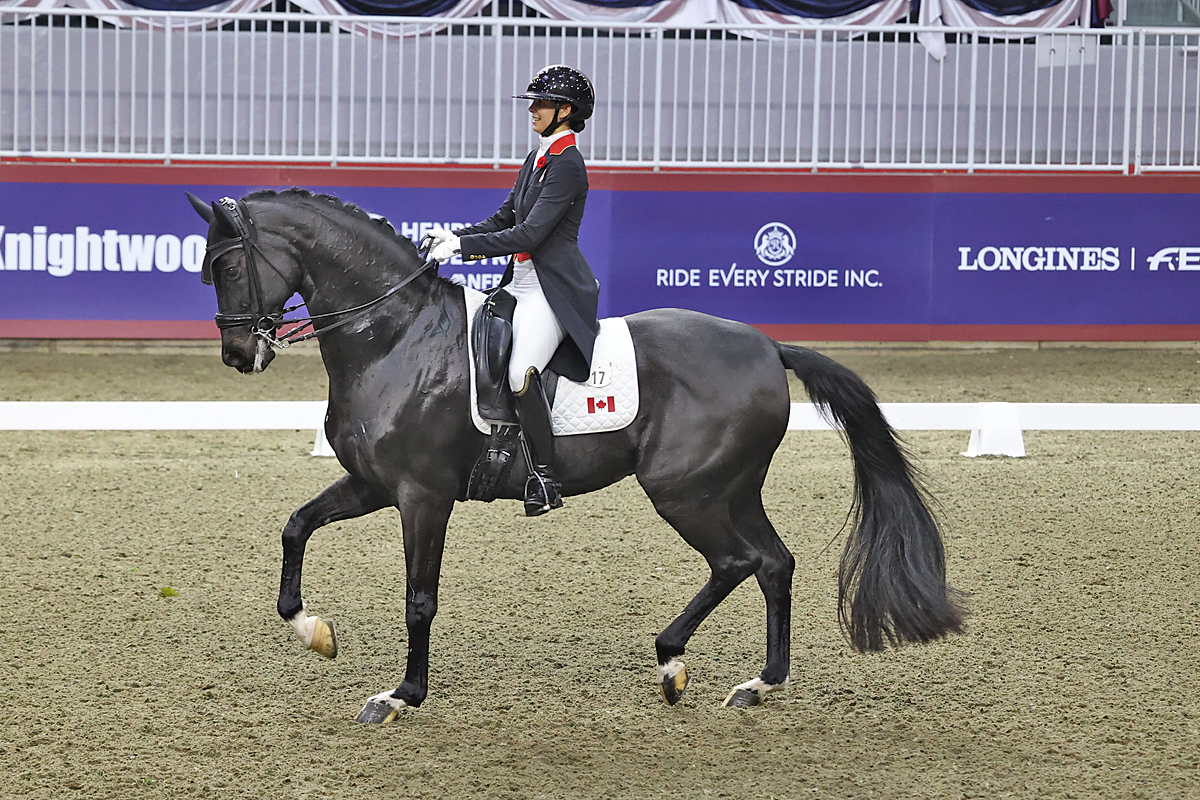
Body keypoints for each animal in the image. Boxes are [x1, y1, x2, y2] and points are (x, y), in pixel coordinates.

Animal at [182, 189, 960, 724]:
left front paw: (401, 695)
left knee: (740, 561)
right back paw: (757, 682)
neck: (395, 337)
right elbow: (295, 526)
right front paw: (314, 631)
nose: (238, 355)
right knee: (772, 562)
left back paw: (672, 661)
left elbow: (419, 598)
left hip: (687, 490)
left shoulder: (422, 495)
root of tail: (768, 345)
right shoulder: (374, 482)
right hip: (728, 488)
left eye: (226, 263)